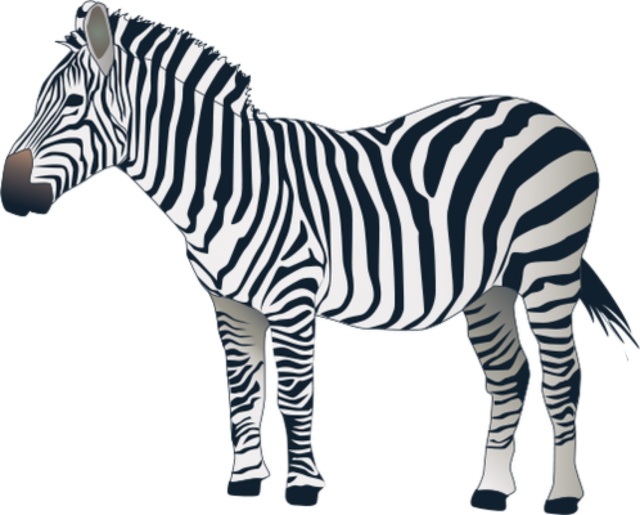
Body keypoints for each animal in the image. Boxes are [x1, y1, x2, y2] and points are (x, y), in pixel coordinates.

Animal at [1, 2, 637, 511]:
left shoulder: (292, 295)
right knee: (509, 375)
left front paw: (303, 486)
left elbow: (292, 391)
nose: (10, 195)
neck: (225, 182)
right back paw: (492, 491)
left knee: (563, 374)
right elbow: (243, 390)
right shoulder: (231, 305)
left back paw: (564, 496)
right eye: (38, 103)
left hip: (549, 268)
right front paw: (247, 480)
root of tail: (545, 112)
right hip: (492, 286)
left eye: (75, 104)